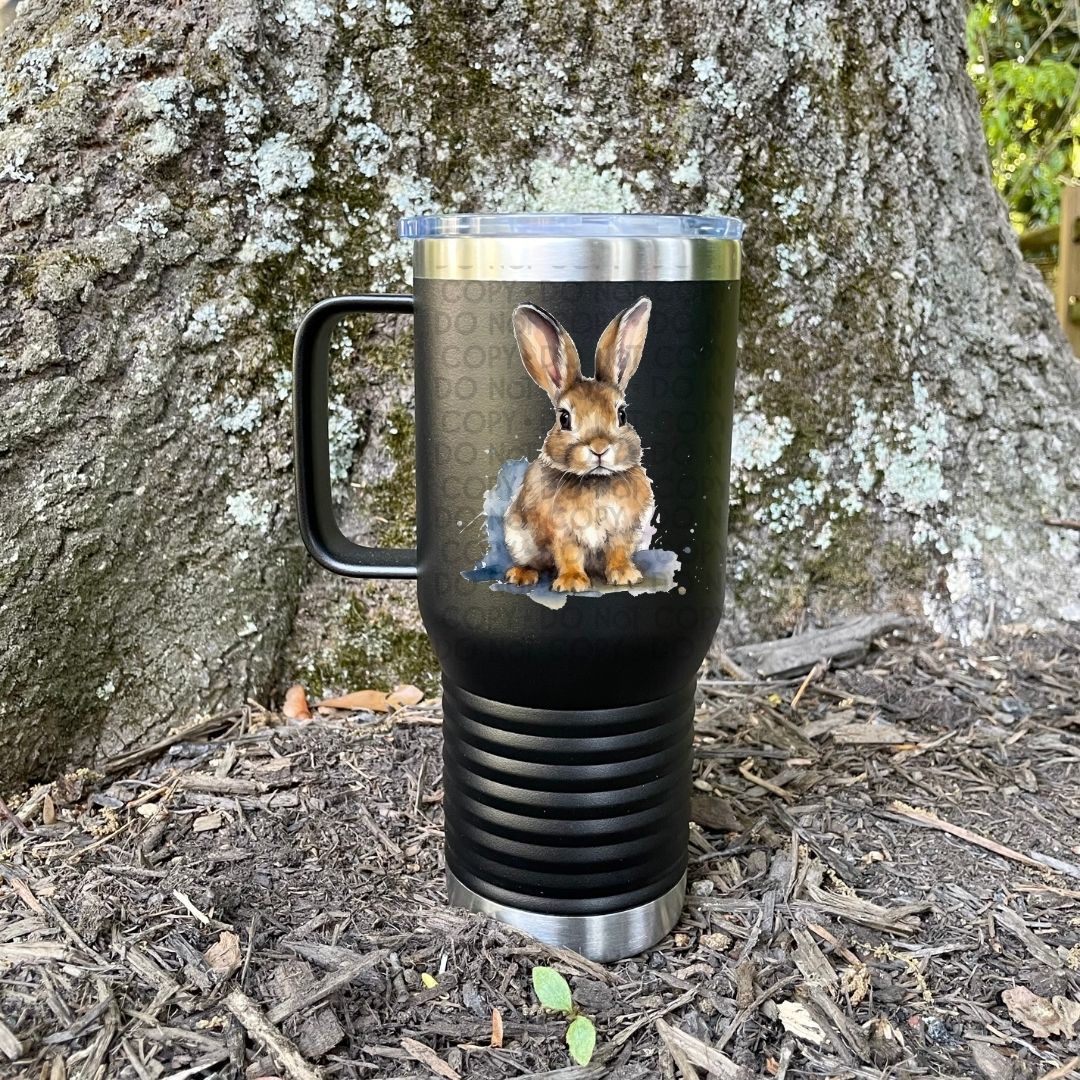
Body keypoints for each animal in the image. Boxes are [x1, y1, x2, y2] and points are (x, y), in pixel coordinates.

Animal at [503, 297, 655, 593]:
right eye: (564, 418)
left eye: (622, 415)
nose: (599, 447)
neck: (595, 481)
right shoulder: (563, 532)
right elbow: (569, 554)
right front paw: (572, 582)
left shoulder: (622, 530)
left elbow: (618, 551)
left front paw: (625, 575)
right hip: (519, 539)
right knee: (533, 561)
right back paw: (521, 574)